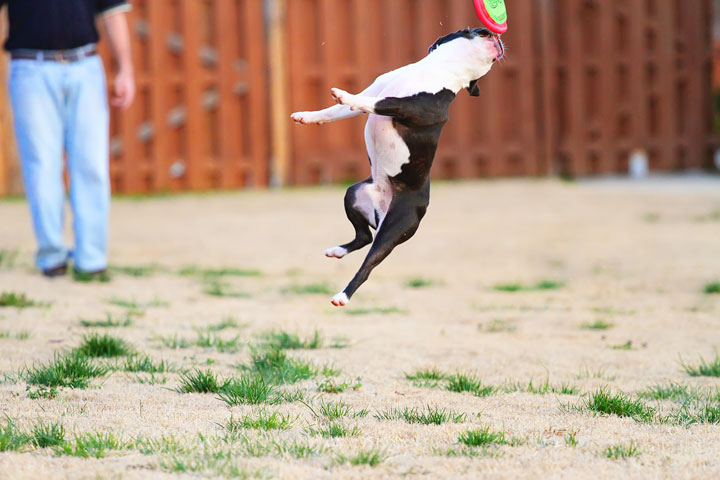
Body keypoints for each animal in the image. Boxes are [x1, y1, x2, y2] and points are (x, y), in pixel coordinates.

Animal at [290, 28, 504, 306]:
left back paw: (343, 295)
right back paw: (338, 251)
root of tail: (381, 211)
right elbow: (334, 111)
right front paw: (307, 116)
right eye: (468, 30)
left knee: (368, 264)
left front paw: (345, 94)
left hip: (395, 226)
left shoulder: (408, 107)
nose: (494, 34)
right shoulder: (377, 88)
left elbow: (370, 102)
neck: (438, 68)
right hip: (353, 194)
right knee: (364, 237)